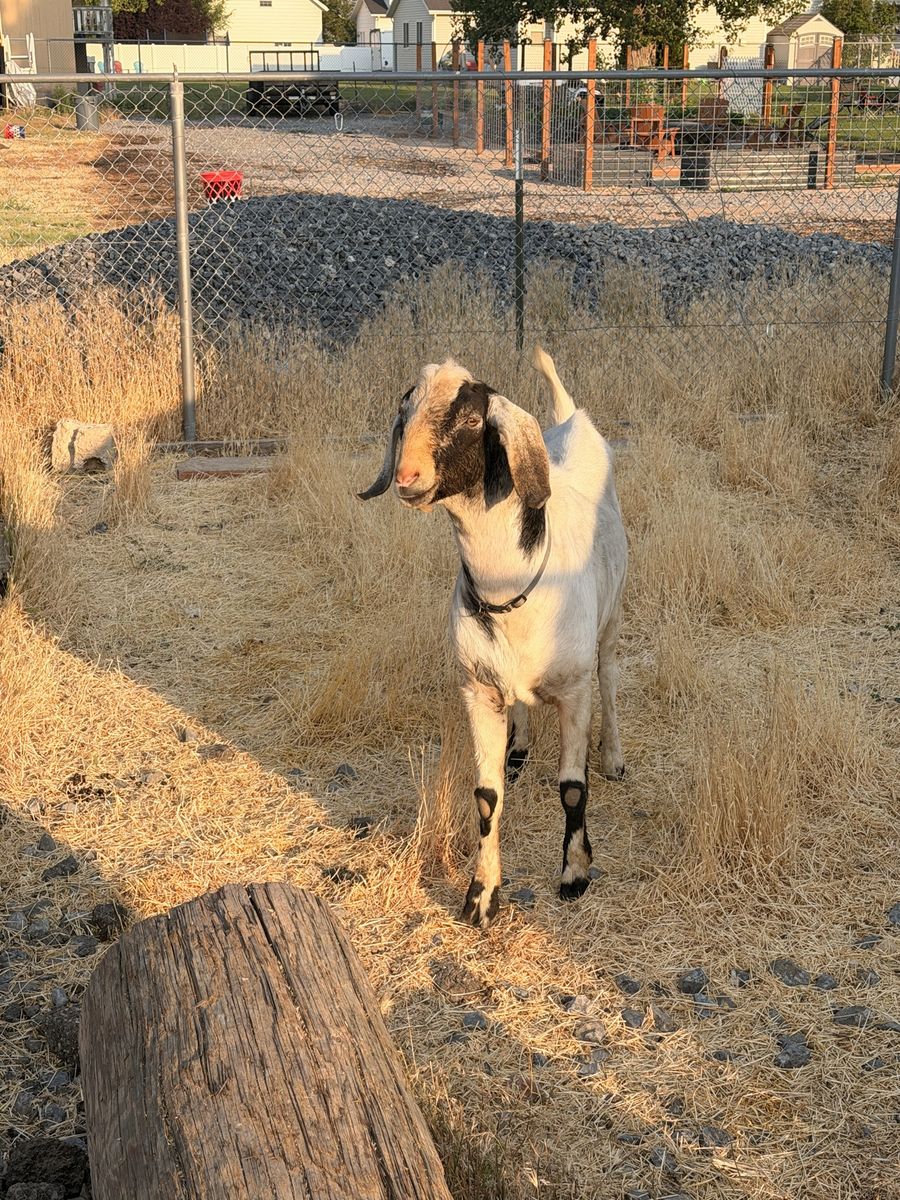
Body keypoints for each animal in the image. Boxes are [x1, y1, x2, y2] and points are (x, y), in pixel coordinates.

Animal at [358, 349, 628, 928]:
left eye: (469, 417)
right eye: (405, 410)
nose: (407, 476)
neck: (512, 585)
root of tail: (571, 420)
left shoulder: (575, 691)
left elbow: (573, 788)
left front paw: (575, 875)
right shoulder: (477, 690)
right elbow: (485, 796)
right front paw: (481, 895)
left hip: (613, 617)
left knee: (612, 677)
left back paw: (614, 757)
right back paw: (519, 748)